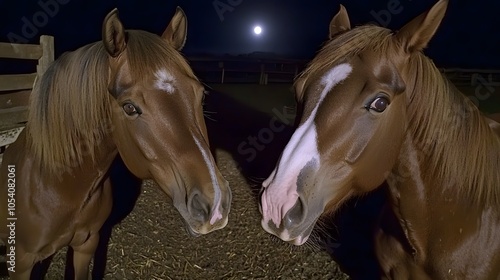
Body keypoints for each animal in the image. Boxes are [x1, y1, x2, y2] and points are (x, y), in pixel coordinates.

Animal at [0, 7, 230, 280]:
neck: (56, 183)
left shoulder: (86, 244)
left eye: (201, 95)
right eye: (129, 107)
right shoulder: (21, 262)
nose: (214, 204)